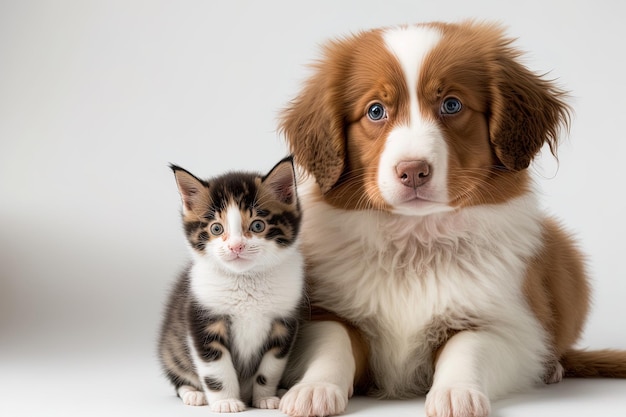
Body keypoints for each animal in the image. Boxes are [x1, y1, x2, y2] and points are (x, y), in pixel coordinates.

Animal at [157, 157, 302, 412]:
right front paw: (226, 402)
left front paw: (265, 397)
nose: (236, 246)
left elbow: (270, 368)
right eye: (216, 228)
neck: (246, 280)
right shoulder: (202, 315)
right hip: (170, 348)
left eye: (257, 226)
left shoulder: (284, 322)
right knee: (177, 377)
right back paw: (192, 394)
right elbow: (216, 369)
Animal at [276, 20, 624, 416]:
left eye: (451, 104)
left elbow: (466, 347)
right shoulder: (324, 312)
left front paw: (456, 393)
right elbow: (334, 343)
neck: (416, 239)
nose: (413, 171)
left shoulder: (506, 325)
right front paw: (313, 389)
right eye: (376, 111)